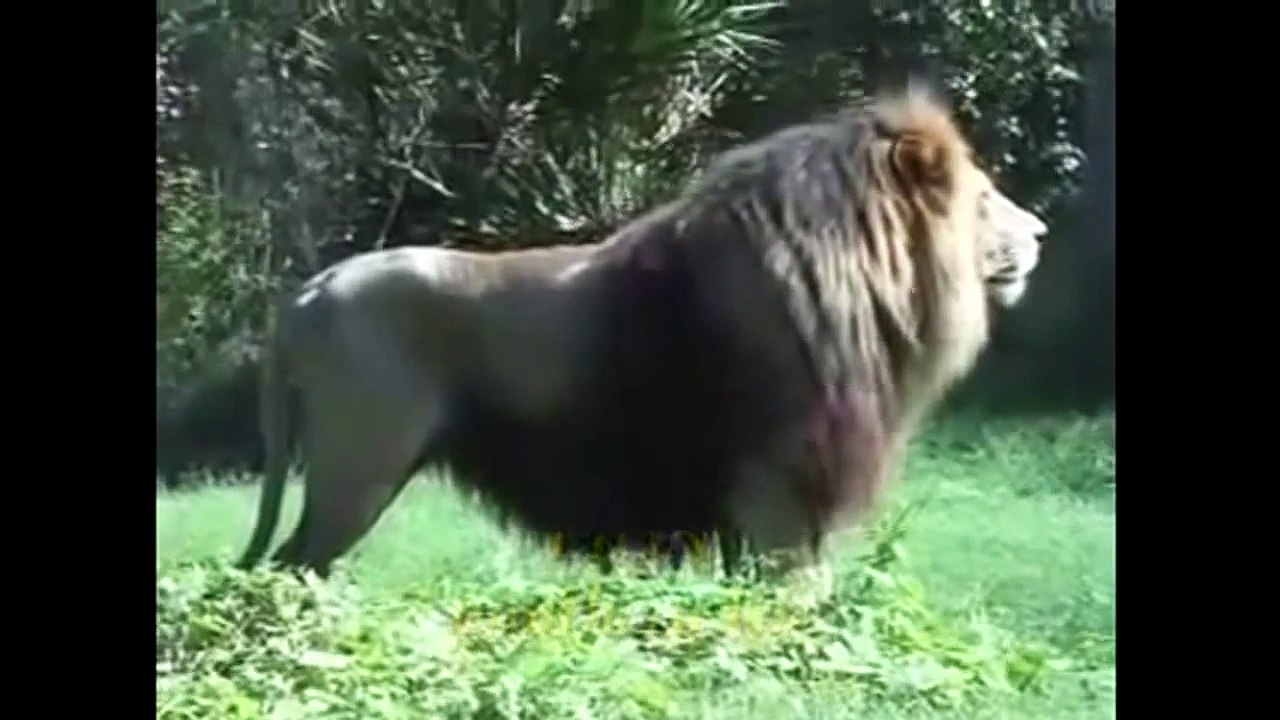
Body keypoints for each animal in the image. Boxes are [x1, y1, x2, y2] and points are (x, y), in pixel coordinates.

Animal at [234, 88, 1046, 585]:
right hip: (359, 468)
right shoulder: (780, 494)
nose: (1041, 231)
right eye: (984, 200)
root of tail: (306, 292)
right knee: (290, 567)